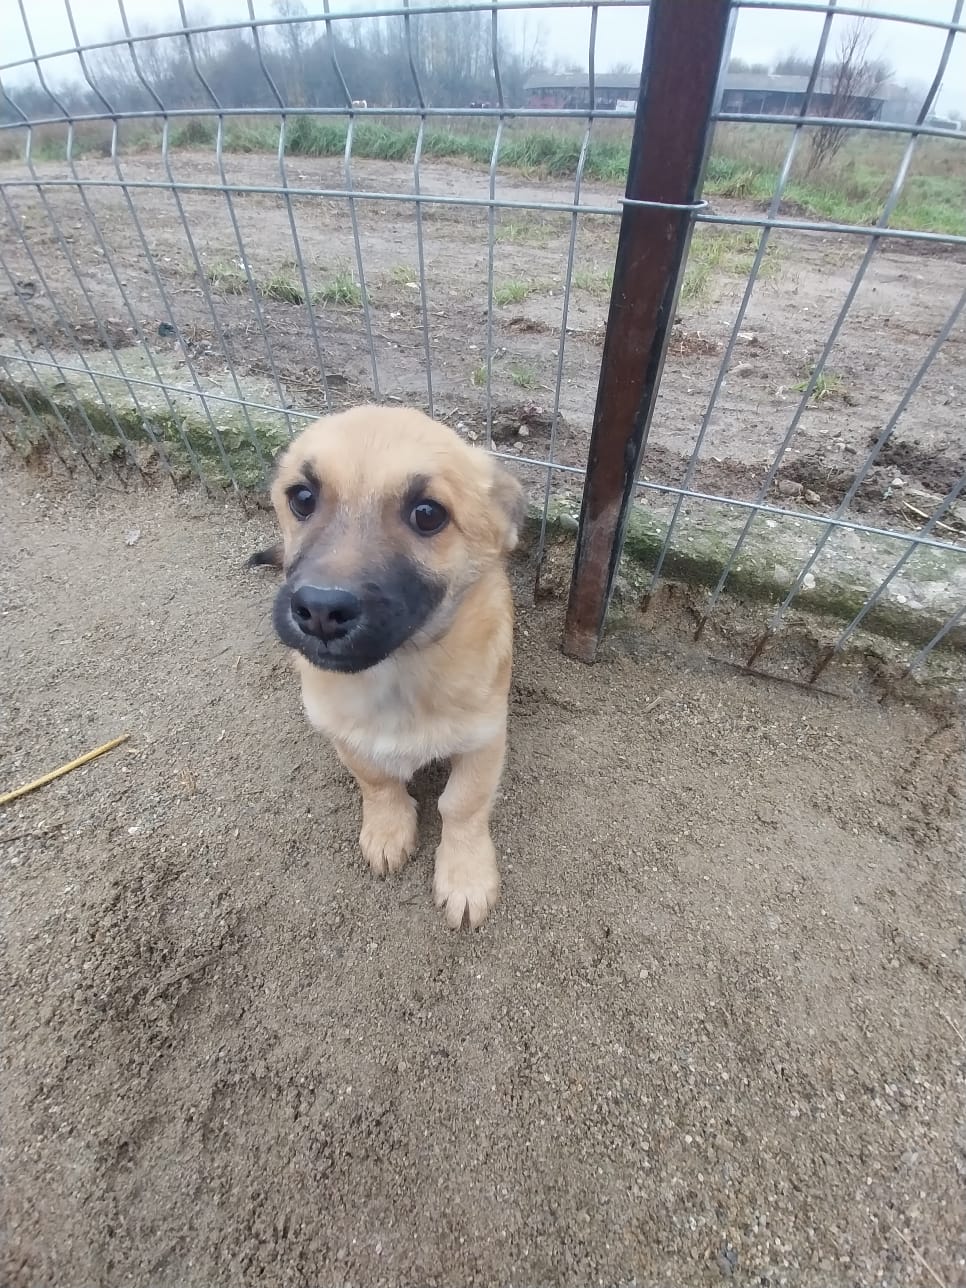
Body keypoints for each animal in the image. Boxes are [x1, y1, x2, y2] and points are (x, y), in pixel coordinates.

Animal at [253, 405, 525, 929]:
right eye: (302, 498)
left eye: (428, 513)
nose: (320, 610)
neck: (397, 674)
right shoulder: (342, 733)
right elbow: (376, 779)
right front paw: (387, 828)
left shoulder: (485, 738)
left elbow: (462, 804)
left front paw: (465, 874)